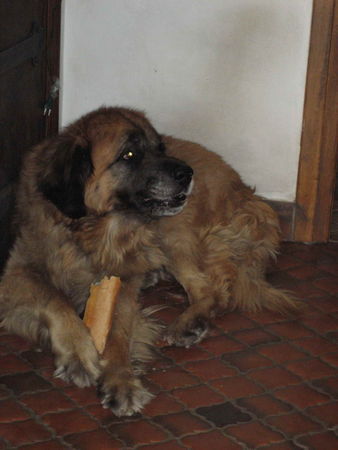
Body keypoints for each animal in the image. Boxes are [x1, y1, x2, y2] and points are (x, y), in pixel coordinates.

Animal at [0, 105, 296, 414]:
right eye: (129, 154)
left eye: (160, 147)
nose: (187, 173)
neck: (95, 234)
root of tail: (244, 190)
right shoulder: (15, 274)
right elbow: (54, 299)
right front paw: (78, 354)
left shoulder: (121, 284)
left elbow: (117, 332)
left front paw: (121, 380)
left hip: (172, 233)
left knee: (210, 290)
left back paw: (189, 323)